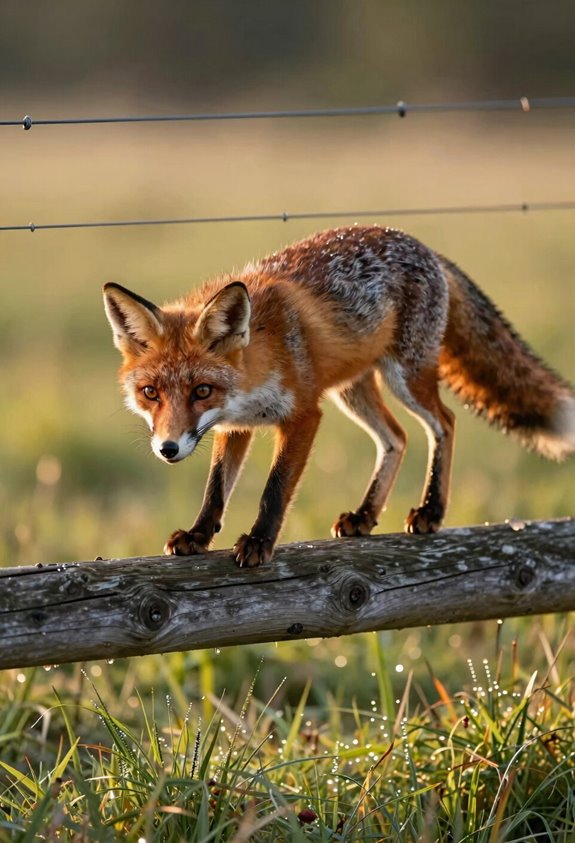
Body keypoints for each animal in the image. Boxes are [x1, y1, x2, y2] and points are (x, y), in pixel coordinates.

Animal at [103, 225, 575, 568]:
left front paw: (258, 541)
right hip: (354, 391)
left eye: (201, 390)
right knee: (396, 438)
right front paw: (199, 535)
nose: (167, 449)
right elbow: (216, 489)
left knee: (444, 422)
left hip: (406, 376)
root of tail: (422, 245)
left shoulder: (303, 415)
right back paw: (364, 516)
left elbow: (275, 489)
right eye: (150, 393)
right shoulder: (234, 427)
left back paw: (431, 511)